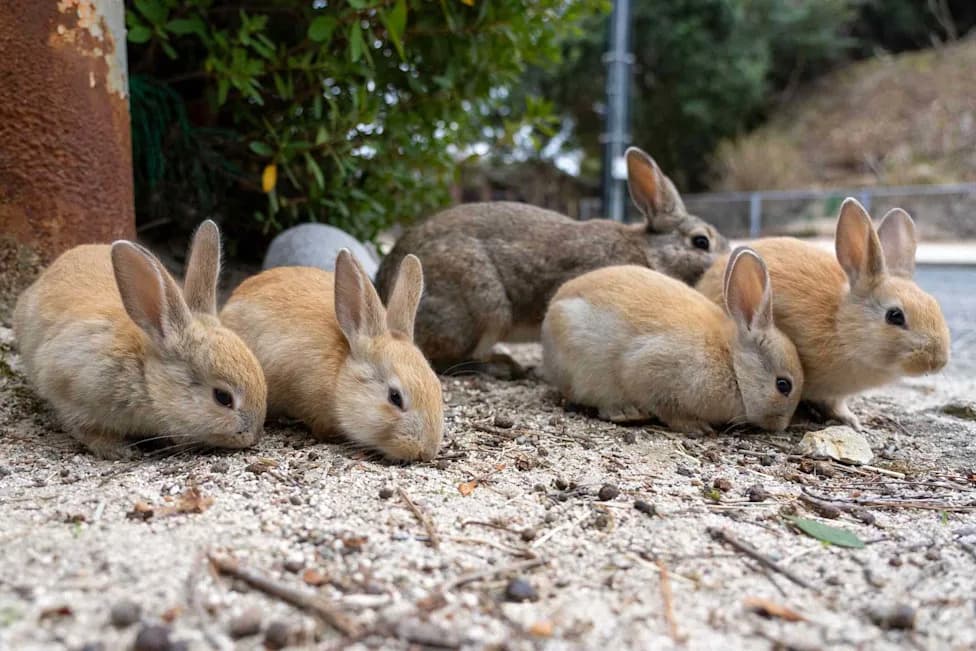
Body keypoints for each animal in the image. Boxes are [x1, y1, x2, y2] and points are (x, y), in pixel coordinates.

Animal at [12, 221, 268, 459]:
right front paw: (118, 451)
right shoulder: (70, 391)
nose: (251, 437)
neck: (145, 376)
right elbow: (86, 429)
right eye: (223, 398)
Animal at [541, 247, 803, 433]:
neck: (733, 362)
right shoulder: (653, 372)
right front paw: (697, 427)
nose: (781, 426)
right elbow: (667, 409)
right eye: (783, 385)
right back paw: (626, 413)